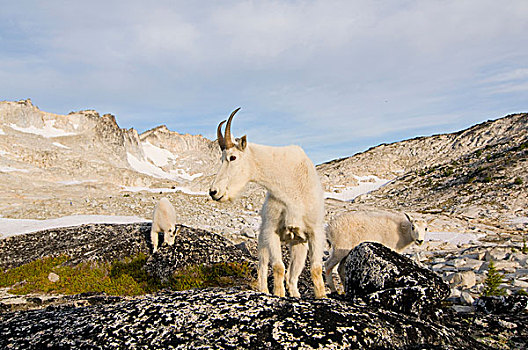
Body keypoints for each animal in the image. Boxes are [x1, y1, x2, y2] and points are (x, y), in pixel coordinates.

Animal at [209, 108, 326, 298]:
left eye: (232, 157)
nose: (214, 192)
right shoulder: (272, 231)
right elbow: (278, 266)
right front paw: (278, 294)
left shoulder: (315, 232)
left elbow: (315, 268)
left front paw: (322, 296)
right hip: (262, 240)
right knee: (262, 266)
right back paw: (264, 290)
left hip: (299, 245)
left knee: (293, 276)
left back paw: (295, 295)